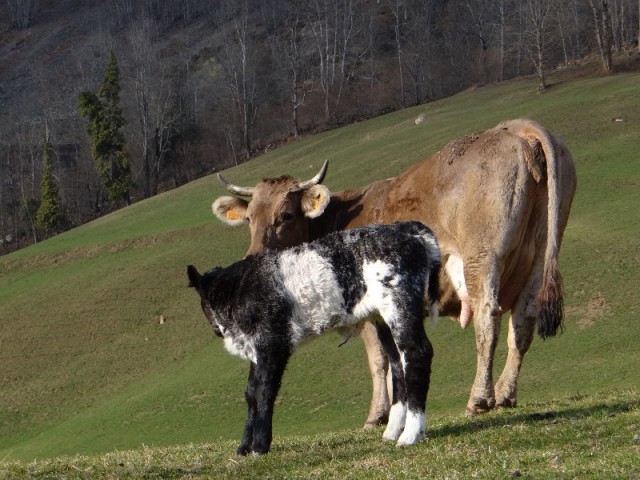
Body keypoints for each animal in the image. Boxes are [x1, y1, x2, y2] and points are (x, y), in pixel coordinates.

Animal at [188, 221, 442, 454]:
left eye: (204, 303)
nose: (216, 330)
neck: (239, 290)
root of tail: (407, 228)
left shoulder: (273, 343)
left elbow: (263, 391)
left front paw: (260, 446)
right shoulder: (256, 349)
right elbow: (251, 393)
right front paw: (243, 448)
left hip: (400, 302)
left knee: (417, 352)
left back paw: (410, 434)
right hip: (381, 317)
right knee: (398, 362)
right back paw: (392, 431)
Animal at [212, 120, 576, 424]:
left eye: (286, 215)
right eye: (250, 218)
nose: (254, 257)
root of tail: (515, 130)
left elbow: (378, 361)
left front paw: (377, 415)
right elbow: (393, 358)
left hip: (482, 258)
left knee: (488, 319)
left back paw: (479, 398)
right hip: (538, 260)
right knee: (522, 326)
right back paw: (505, 394)